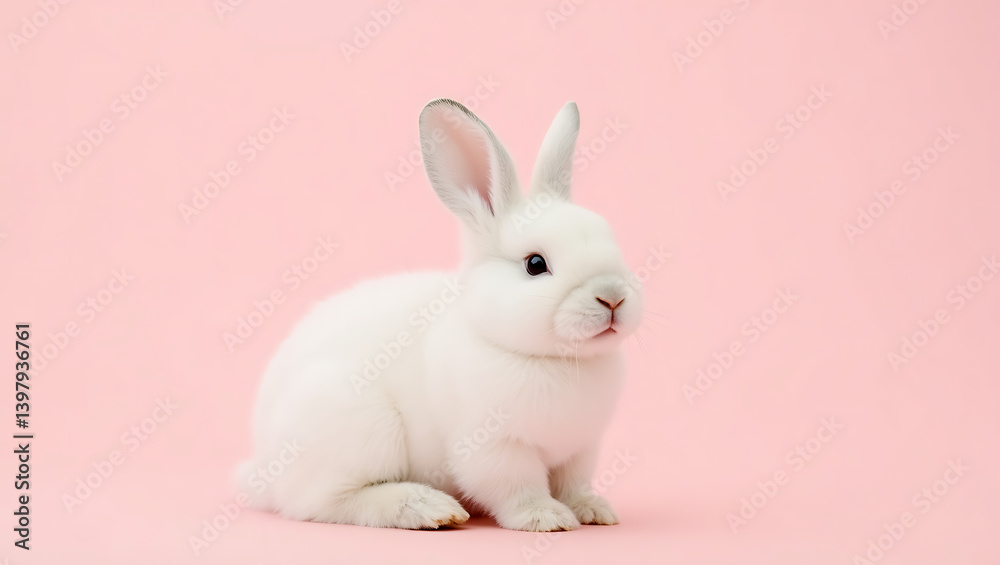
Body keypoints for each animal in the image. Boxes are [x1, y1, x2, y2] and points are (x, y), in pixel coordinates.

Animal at [236, 98, 643, 532]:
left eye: (611, 240)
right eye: (535, 264)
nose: (612, 298)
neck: (550, 360)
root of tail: (263, 470)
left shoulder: (581, 449)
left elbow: (573, 484)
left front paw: (595, 511)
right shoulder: (492, 447)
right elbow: (517, 487)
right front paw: (546, 518)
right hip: (361, 429)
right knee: (328, 502)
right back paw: (429, 508)